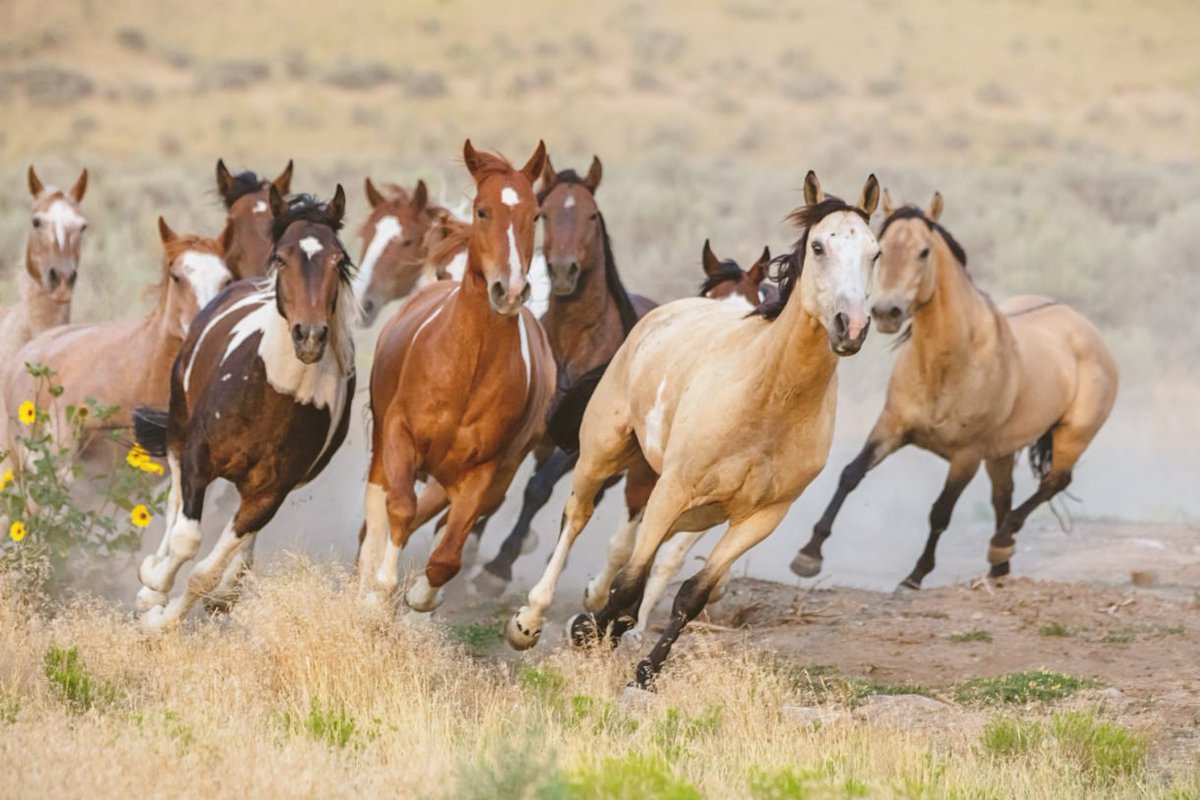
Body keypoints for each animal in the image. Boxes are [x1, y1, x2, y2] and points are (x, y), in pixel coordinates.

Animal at [132, 187, 356, 630]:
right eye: (282, 257)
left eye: (339, 260)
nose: (310, 336)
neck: (275, 394)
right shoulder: (198, 457)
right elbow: (186, 538)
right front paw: (152, 592)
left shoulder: (271, 492)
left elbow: (206, 572)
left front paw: (165, 622)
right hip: (179, 426)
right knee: (174, 505)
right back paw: (152, 580)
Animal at [472, 155, 656, 595]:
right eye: (546, 214)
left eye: (591, 214)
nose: (563, 271)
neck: (573, 345)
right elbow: (501, 482)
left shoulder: (573, 447)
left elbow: (537, 489)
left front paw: (497, 568)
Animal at [506, 172, 881, 690]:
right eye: (820, 246)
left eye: (875, 252)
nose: (852, 326)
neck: (768, 399)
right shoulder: (673, 487)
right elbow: (629, 581)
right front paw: (584, 632)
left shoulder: (761, 516)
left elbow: (691, 592)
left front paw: (643, 671)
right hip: (603, 452)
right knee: (577, 517)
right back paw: (530, 620)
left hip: (697, 510)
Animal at [790, 190, 1118, 588]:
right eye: (884, 247)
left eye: (924, 252)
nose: (887, 313)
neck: (946, 366)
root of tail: (1085, 329)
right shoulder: (892, 427)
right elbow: (850, 475)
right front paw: (809, 554)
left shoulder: (966, 455)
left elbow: (940, 513)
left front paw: (914, 576)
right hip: (1001, 452)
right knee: (1004, 496)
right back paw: (999, 567)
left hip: (1072, 436)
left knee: (1053, 482)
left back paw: (1001, 543)